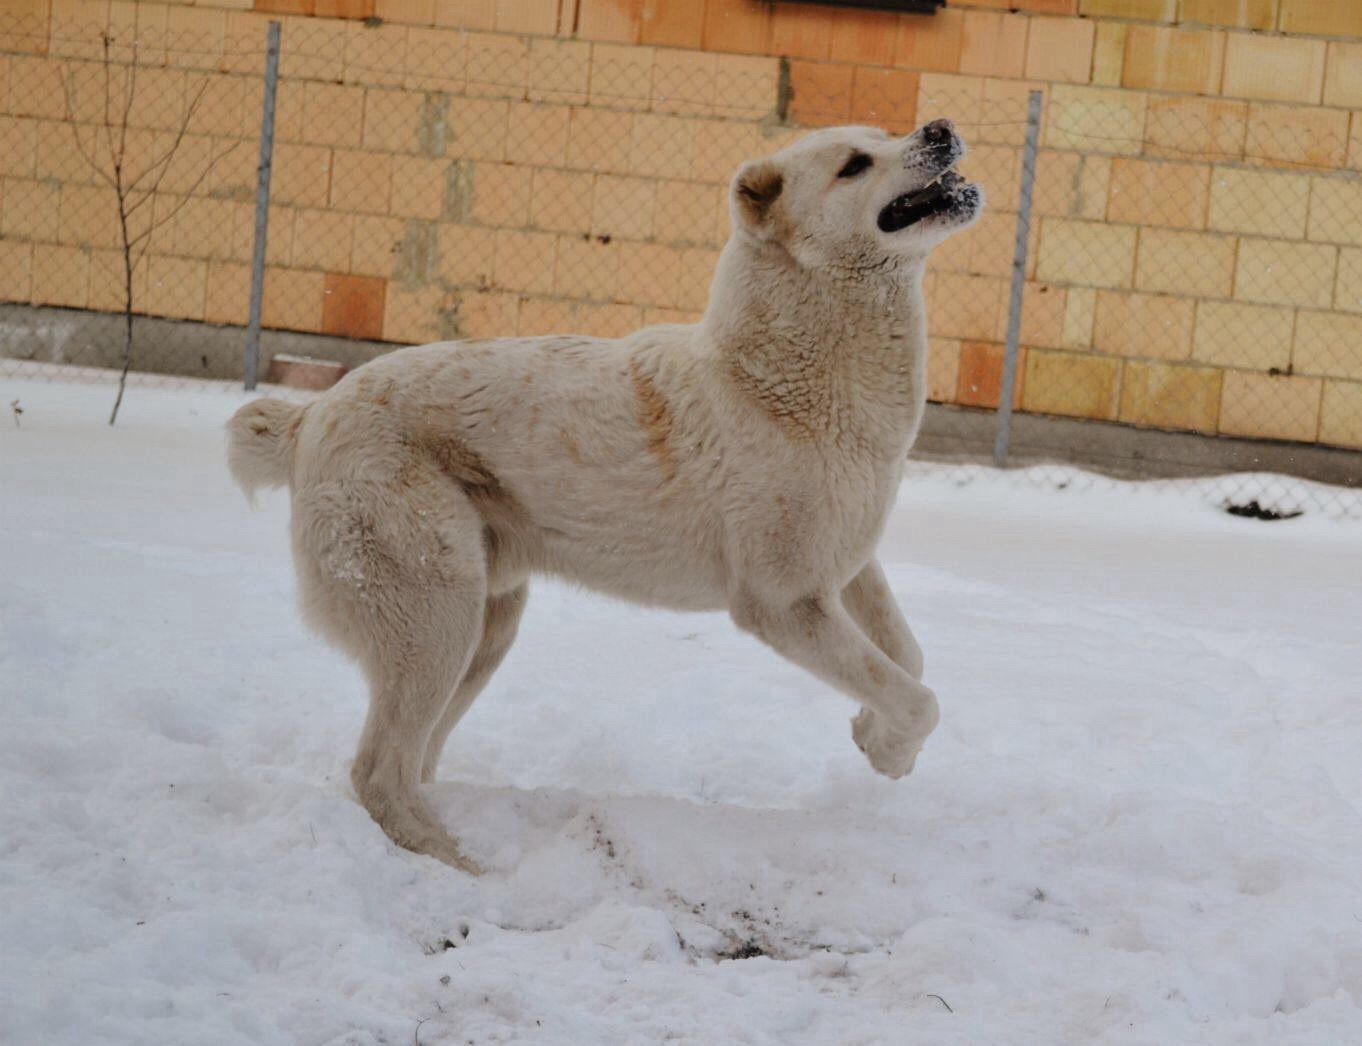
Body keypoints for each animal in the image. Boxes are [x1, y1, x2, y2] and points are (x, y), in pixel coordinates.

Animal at [228, 118, 986, 871]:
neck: (775, 380)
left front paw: (872, 736)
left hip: (485, 625)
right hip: (435, 618)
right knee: (378, 771)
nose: (941, 127)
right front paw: (889, 749)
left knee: (415, 759)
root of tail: (310, 415)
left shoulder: (850, 566)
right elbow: (920, 697)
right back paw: (463, 866)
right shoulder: (784, 603)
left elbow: (907, 659)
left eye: (885, 134)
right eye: (854, 164)